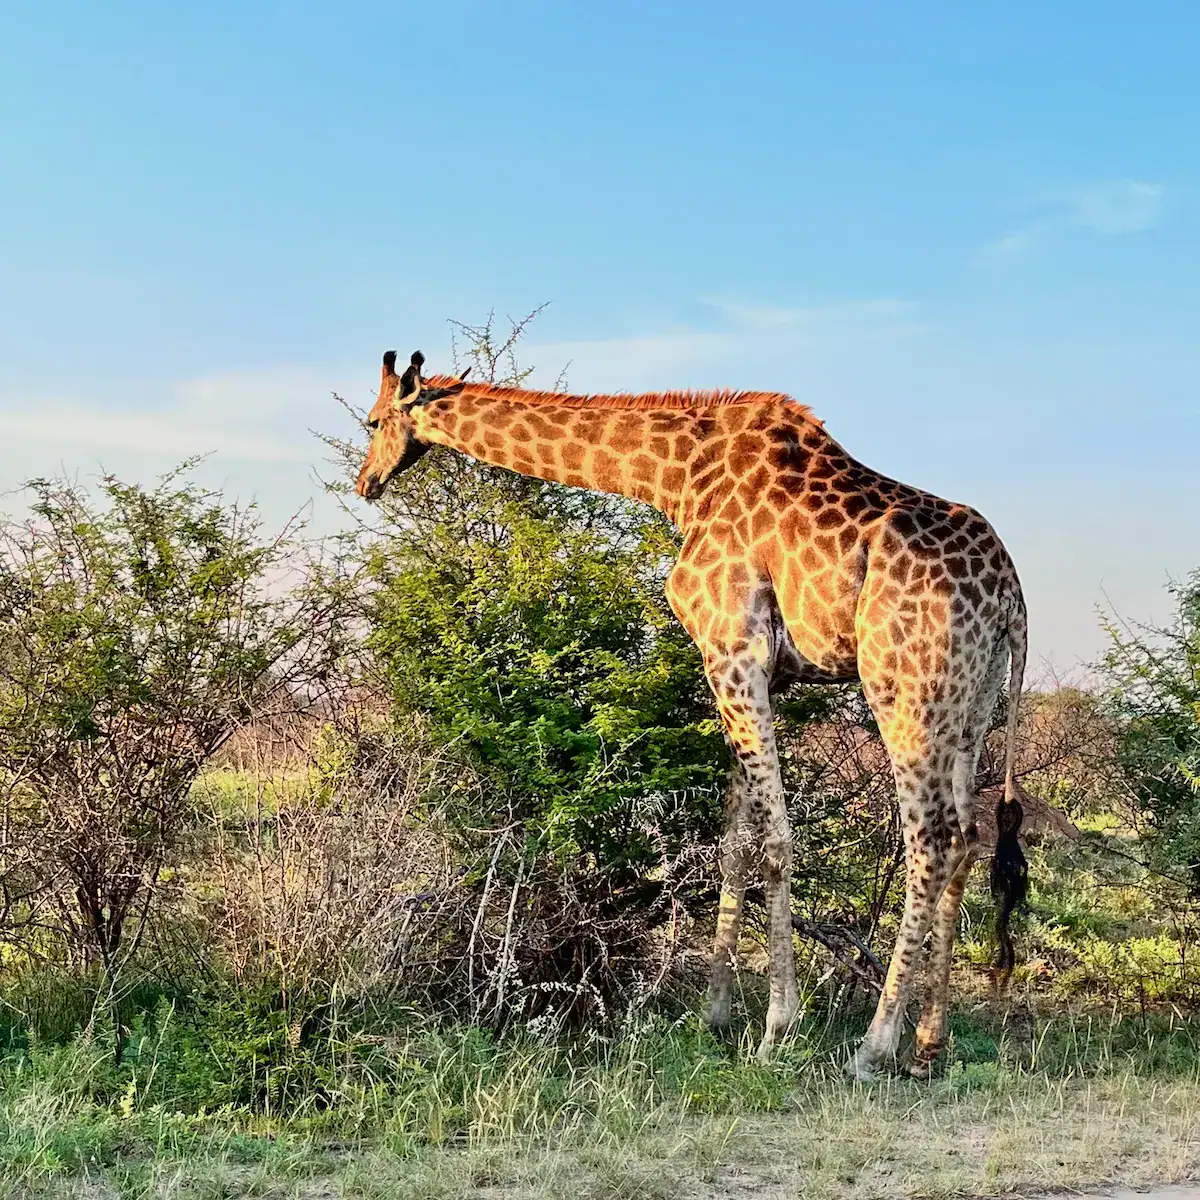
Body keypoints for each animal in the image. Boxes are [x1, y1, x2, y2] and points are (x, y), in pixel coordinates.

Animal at [355, 350, 1029, 1080]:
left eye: (372, 421)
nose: (365, 482)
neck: (678, 476)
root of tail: (1012, 596)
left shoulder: (733, 650)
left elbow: (775, 840)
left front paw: (776, 1026)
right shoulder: (762, 672)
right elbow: (736, 840)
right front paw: (715, 1015)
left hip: (903, 690)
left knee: (928, 840)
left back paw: (874, 1046)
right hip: (972, 699)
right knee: (966, 837)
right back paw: (930, 1045)